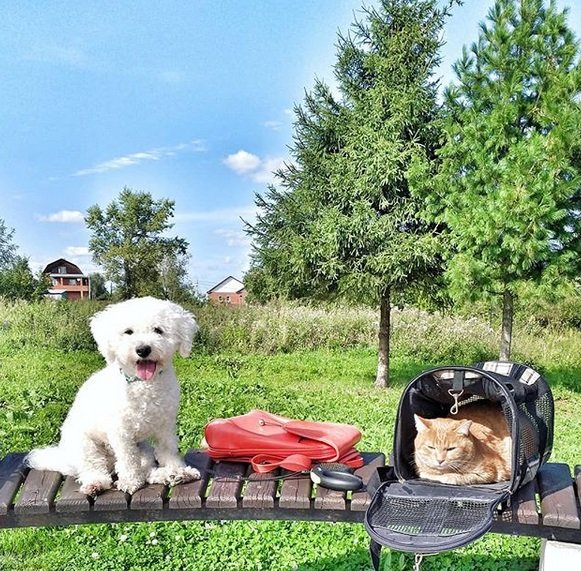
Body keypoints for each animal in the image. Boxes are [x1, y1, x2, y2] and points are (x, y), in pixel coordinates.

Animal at [26, 298, 201, 494]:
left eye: (158, 330)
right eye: (128, 332)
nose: (143, 349)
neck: (143, 385)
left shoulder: (166, 427)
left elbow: (168, 451)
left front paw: (177, 469)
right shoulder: (121, 433)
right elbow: (128, 460)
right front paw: (130, 482)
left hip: (143, 448)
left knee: (147, 470)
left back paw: (169, 475)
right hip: (86, 446)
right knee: (94, 468)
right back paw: (96, 483)